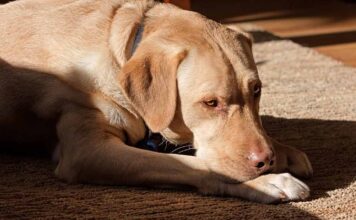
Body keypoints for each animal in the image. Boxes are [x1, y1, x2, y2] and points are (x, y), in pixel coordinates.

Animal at [0, 0, 312, 203]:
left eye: (256, 90)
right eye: (211, 103)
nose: (266, 161)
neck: (122, 49)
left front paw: (284, 151)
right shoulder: (86, 150)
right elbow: (192, 164)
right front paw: (267, 181)